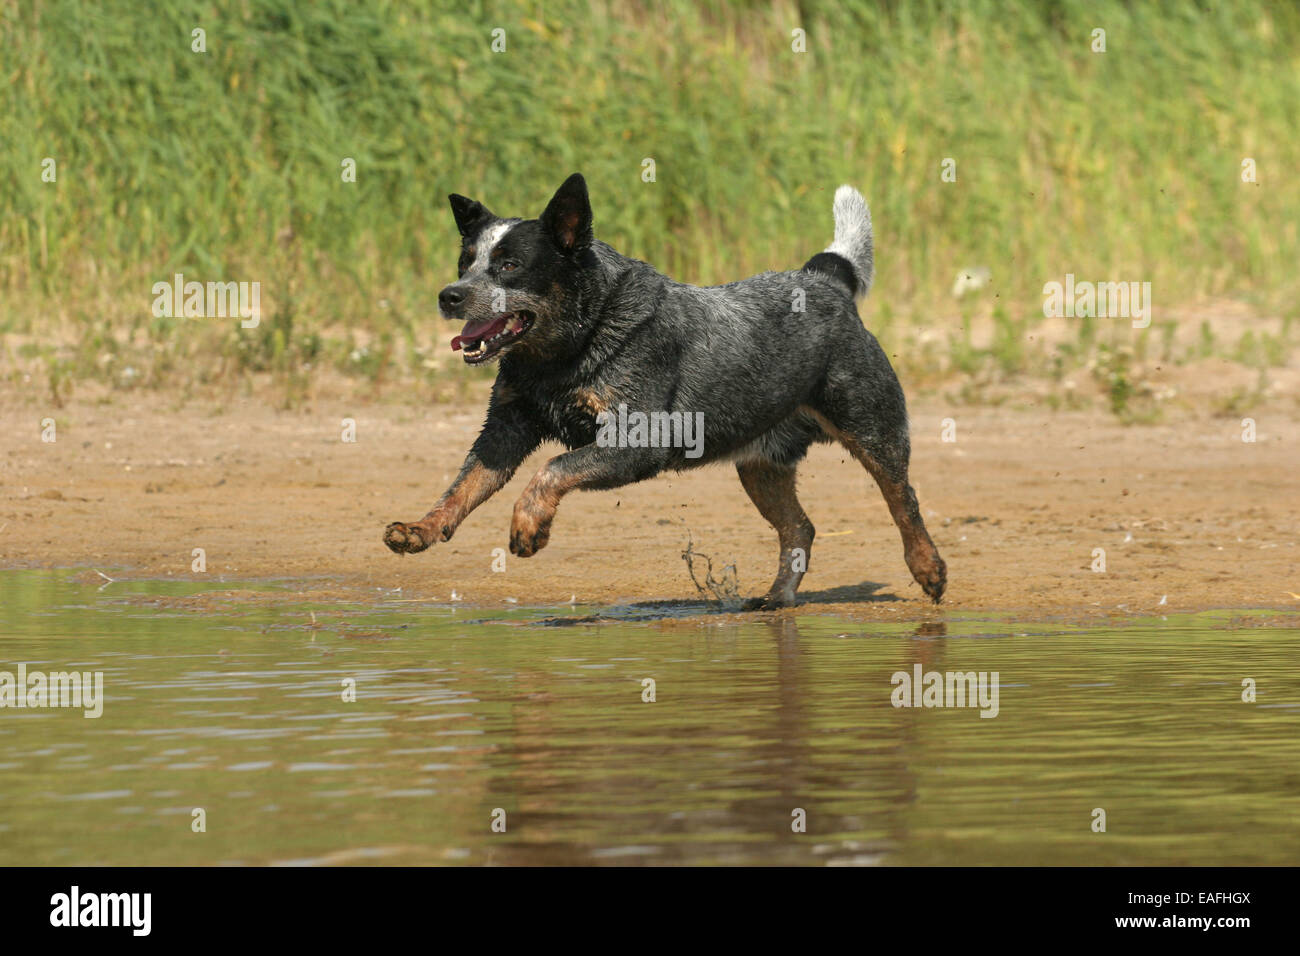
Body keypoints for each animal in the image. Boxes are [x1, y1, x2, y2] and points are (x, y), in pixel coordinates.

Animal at [382, 172, 946, 608]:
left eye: (509, 265)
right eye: (465, 262)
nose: (449, 295)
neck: (564, 353)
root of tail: (825, 278)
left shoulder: (639, 442)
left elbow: (551, 469)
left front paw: (528, 526)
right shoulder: (505, 428)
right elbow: (463, 485)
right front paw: (422, 529)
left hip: (871, 426)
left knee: (905, 500)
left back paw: (928, 569)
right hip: (759, 464)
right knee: (800, 527)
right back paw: (777, 598)